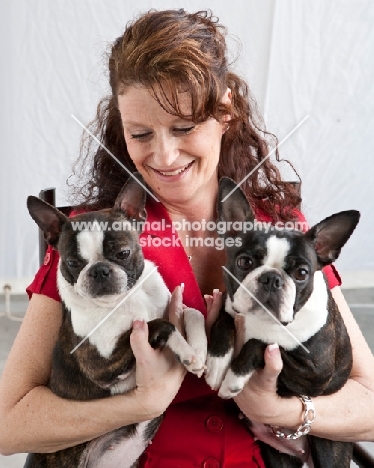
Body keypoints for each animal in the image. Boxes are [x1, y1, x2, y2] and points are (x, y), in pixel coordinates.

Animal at [25, 176, 207, 468]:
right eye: (73, 262)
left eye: (123, 253)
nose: (99, 270)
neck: (127, 298)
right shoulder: (102, 365)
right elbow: (159, 323)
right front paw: (187, 353)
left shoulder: (172, 304)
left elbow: (193, 313)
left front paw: (199, 351)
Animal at [205, 176, 360, 468]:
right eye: (244, 261)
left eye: (301, 273)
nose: (271, 278)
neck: (263, 319)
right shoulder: (231, 306)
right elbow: (225, 320)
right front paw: (217, 362)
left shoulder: (314, 373)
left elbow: (260, 342)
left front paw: (233, 377)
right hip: (277, 457)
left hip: (330, 448)